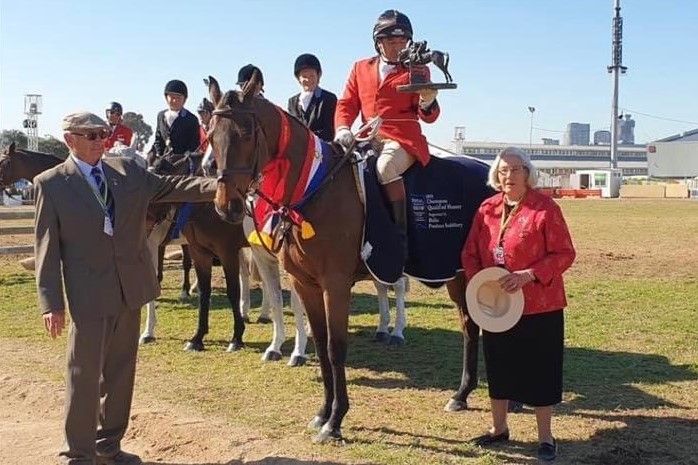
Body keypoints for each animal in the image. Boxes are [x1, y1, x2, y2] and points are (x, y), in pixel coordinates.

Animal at [205, 74, 478, 440]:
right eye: (211, 135)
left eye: (246, 133)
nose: (227, 206)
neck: (314, 191)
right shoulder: (305, 283)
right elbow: (320, 344)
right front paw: (323, 412)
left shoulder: (335, 285)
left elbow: (336, 348)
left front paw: (335, 421)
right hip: (457, 275)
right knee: (469, 326)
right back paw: (461, 394)